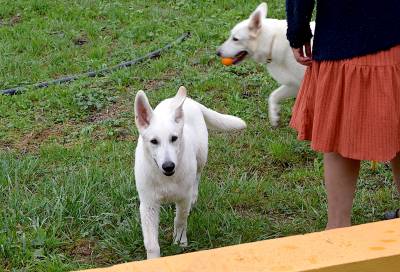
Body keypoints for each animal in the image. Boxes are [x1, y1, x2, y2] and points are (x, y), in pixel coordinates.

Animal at [136, 86, 245, 258]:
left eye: (174, 138)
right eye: (154, 141)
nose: (168, 166)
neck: (166, 179)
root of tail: (191, 101)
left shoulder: (183, 199)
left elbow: (180, 220)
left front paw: (179, 241)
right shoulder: (148, 205)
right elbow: (151, 243)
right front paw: (153, 259)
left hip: (201, 156)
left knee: (197, 177)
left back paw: (194, 195)